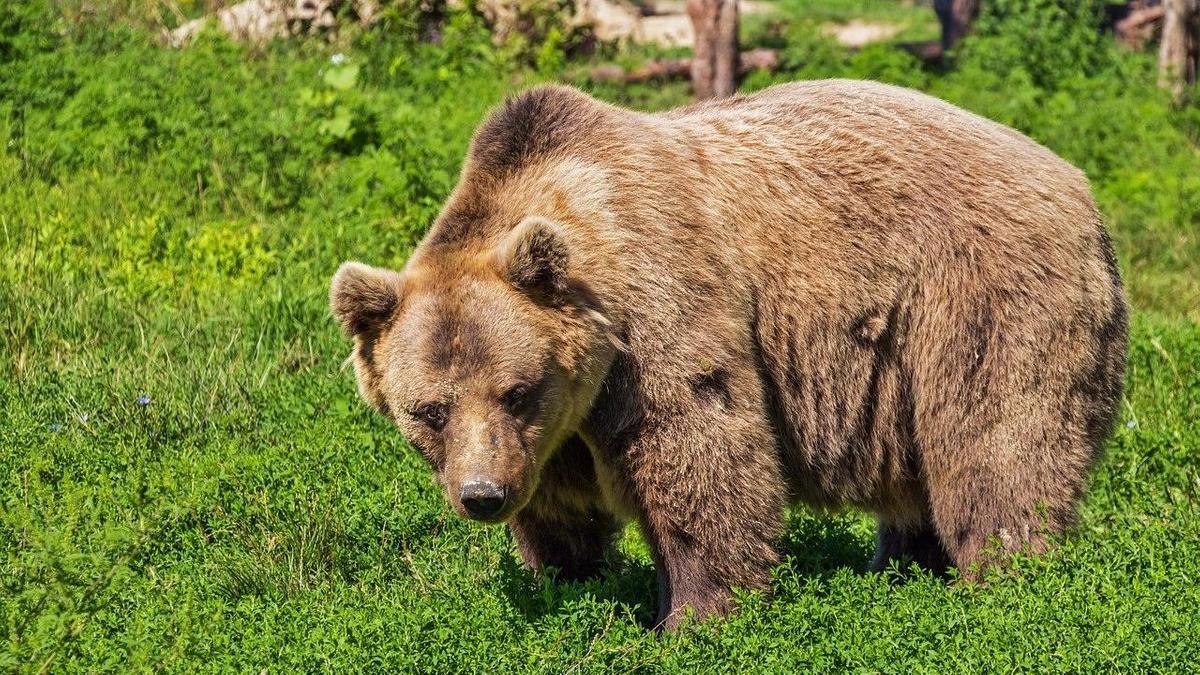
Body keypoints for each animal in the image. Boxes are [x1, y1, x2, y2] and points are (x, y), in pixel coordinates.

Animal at [328, 81, 1123, 629]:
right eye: (429, 410)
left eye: (516, 390)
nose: (482, 495)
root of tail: (1078, 184)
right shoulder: (555, 431)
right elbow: (559, 505)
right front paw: (568, 579)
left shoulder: (657, 309)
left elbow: (700, 448)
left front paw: (693, 615)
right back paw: (901, 567)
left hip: (979, 296)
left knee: (997, 441)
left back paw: (1006, 577)